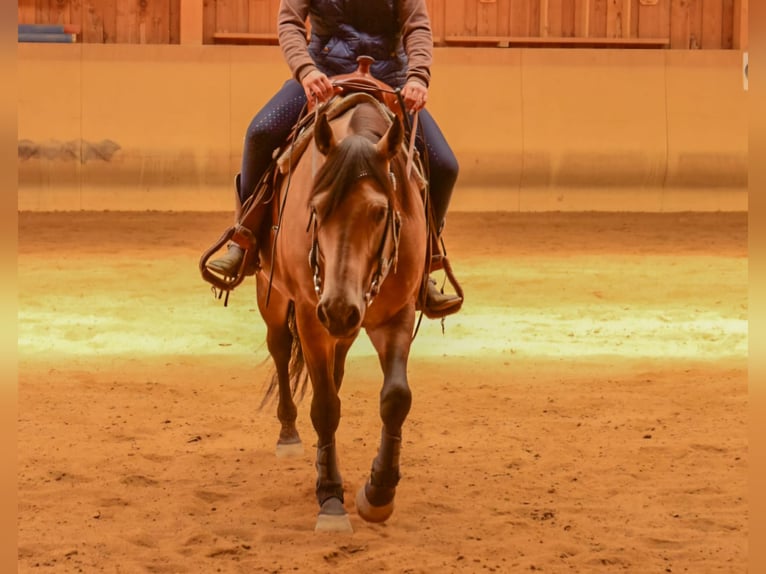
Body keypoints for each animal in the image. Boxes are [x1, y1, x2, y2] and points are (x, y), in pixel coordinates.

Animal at [252, 77, 428, 532]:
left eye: (380, 212)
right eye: (316, 208)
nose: (337, 308)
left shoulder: (397, 314)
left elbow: (396, 398)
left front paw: (378, 493)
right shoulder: (311, 317)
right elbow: (325, 406)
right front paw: (330, 497)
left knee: (336, 366)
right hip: (273, 294)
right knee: (280, 348)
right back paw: (289, 434)